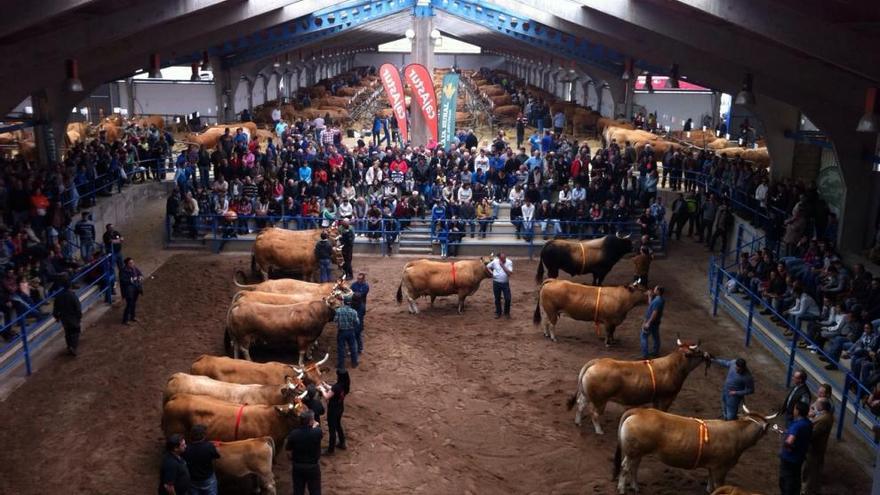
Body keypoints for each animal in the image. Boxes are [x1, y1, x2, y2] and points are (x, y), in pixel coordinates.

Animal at [568, 340, 712, 436]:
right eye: (698, 351)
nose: (708, 355)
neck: (673, 367)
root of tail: (596, 362)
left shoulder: (656, 398)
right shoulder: (667, 397)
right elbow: (663, 411)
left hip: (587, 394)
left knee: (580, 404)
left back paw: (578, 422)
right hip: (600, 400)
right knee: (594, 413)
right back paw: (599, 431)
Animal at [612, 404, 776, 494]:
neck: (737, 434)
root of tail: (639, 411)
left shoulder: (712, 466)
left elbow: (710, 481)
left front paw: (709, 489)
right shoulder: (721, 468)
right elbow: (719, 484)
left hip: (637, 452)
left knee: (634, 467)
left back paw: (635, 487)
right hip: (633, 451)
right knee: (625, 467)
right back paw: (622, 488)